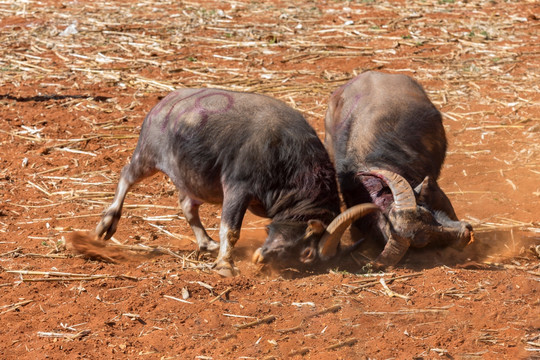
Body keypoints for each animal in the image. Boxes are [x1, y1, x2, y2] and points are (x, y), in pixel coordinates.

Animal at [96, 87, 376, 276]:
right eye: (307, 254)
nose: (261, 258)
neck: (286, 157)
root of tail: (162, 105)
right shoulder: (237, 188)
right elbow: (230, 230)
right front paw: (225, 265)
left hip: (195, 180)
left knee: (187, 205)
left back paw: (206, 242)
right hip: (147, 157)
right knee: (126, 176)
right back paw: (106, 224)